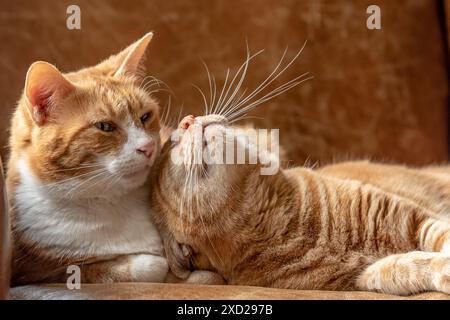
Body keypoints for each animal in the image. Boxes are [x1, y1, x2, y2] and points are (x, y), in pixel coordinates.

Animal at [7, 33, 176, 286]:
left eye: (145, 116)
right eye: (104, 126)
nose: (148, 148)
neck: (109, 201)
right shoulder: (41, 271)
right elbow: (147, 265)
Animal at [150, 114, 450, 296]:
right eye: (171, 145)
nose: (188, 120)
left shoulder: (418, 220)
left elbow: (442, 238)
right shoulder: (363, 277)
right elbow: (413, 265)